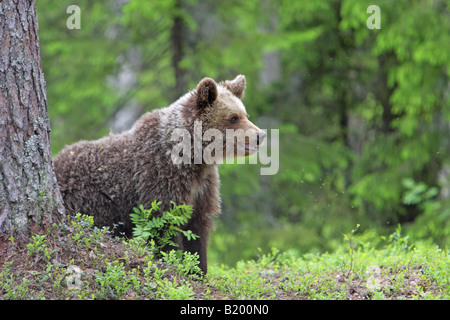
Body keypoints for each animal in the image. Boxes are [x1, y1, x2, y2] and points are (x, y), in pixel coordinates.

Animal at [53, 75, 264, 272]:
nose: (260, 135)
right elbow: (165, 224)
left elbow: (197, 228)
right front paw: (176, 261)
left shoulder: (203, 186)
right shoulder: (160, 175)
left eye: (245, 114)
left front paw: (198, 269)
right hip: (91, 201)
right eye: (233, 118)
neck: (192, 157)